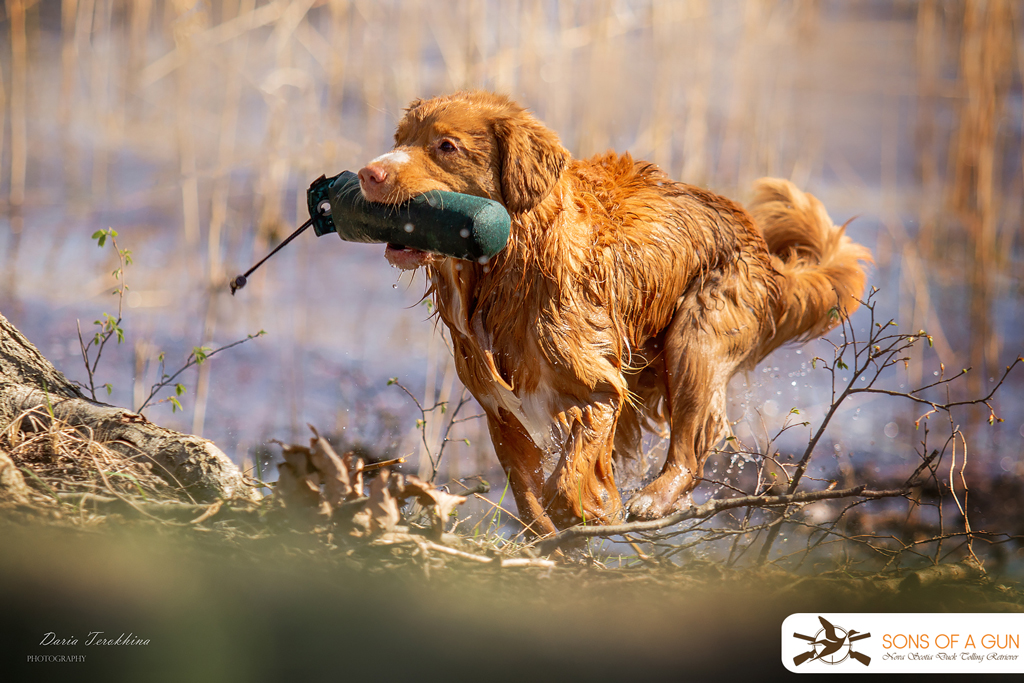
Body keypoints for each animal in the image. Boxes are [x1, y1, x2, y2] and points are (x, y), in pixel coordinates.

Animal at [356, 90, 868, 536]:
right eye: (399, 139)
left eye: (446, 146)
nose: (368, 173)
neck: (504, 271)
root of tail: (756, 238)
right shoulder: (499, 408)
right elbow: (526, 492)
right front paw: (550, 543)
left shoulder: (597, 384)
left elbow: (568, 475)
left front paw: (590, 510)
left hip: (695, 341)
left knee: (695, 440)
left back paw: (655, 498)